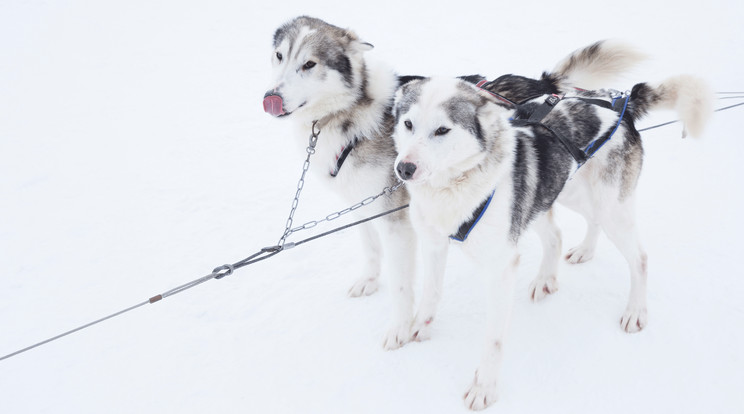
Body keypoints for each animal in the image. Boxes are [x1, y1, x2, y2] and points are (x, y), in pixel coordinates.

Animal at [264, 14, 644, 348]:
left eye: (309, 64)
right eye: (279, 56)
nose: (271, 98)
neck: (352, 113)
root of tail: (547, 85)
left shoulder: (397, 222)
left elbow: (402, 286)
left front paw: (399, 329)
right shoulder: (361, 206)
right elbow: (371, 250)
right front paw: (369, 282)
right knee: (566, 228)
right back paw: (572, 260)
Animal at [392, 74, 712, 408]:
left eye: (442, 130)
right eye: (408, 123)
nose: (404, 168)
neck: (454, 186)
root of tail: (621, 104)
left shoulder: (500, 269)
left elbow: (493, 339)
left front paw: (484, 387)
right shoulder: (433, 244)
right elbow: (430, 293)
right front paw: (418, 326)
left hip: (610, 209)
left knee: (639, 257)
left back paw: (636, 310)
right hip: (560, 193)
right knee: (564, 233)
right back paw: (569, 262)